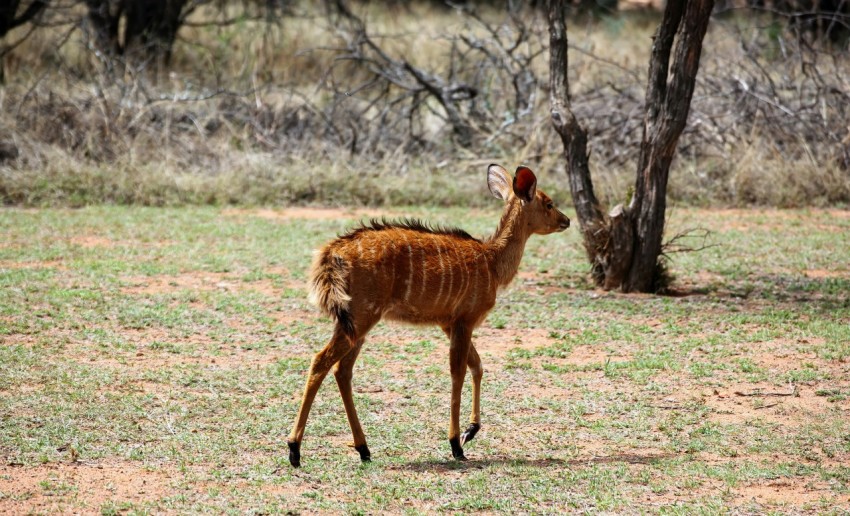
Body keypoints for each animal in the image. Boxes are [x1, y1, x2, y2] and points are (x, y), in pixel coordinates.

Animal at [286, 163, 568, 466]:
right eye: (548, 203)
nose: (566, 220)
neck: (491, 261)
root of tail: (332, 253)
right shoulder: (464, 320)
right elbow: (458, 372)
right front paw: (456, 444)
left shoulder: (449, 323)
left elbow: (477, 365)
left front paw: (471, 431)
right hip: (362, 317)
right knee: (321, 361)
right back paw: (294, 449)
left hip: (354, 322)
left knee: (342, 370)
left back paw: (363, 449)